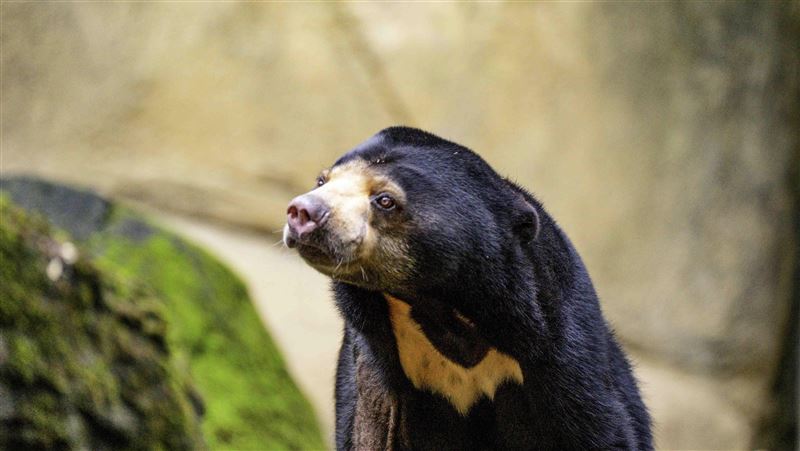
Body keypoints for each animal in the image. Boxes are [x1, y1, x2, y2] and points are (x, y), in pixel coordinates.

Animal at [283, 127, 653, 450]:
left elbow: (603, 431)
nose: (302, 212)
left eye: (385, 200)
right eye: (322, 180)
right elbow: (367, 431)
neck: (438, 305)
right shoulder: (372, 362)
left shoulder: (561, 355)